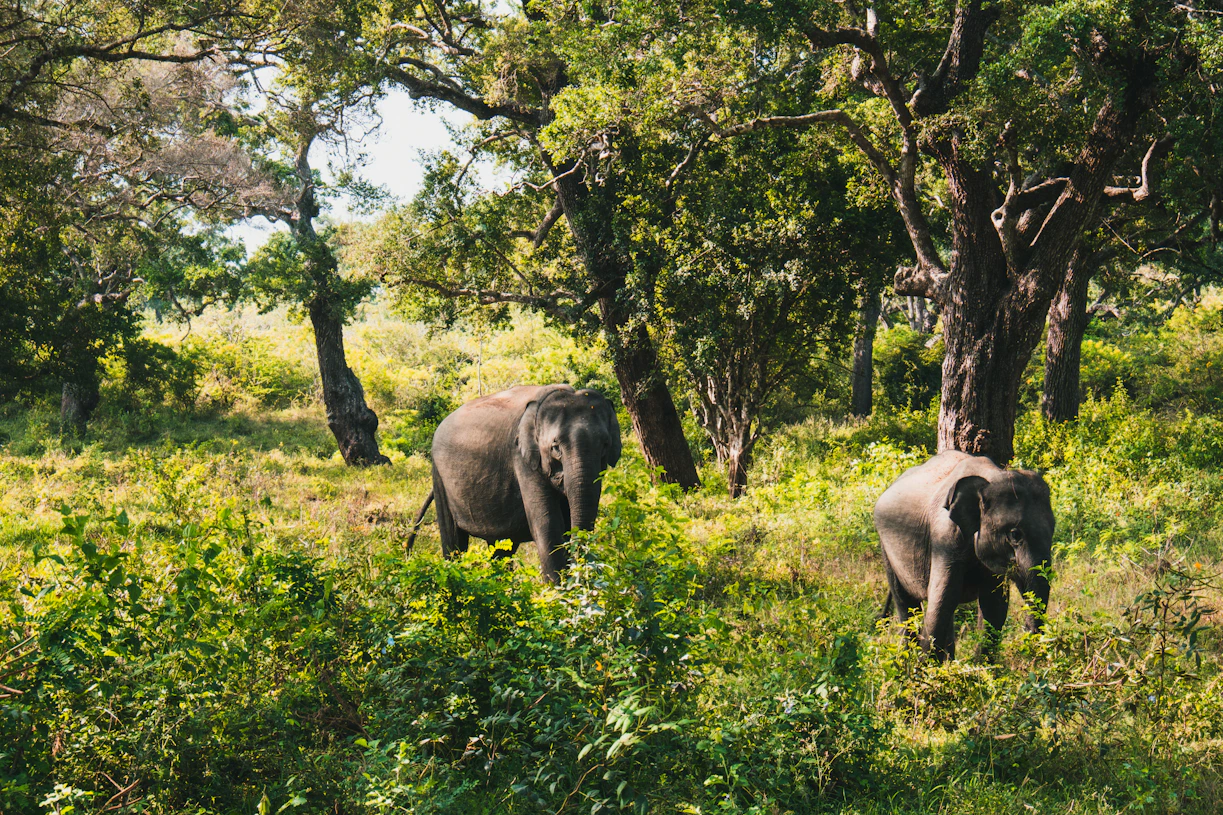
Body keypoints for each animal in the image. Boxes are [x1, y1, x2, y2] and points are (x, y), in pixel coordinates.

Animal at [406, 384, 622, 583]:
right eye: (555, 447)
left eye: (605, 445)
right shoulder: (522, 459)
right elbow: (548, 524)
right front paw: (559, 595)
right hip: (439, 476)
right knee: (453, 541)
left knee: (501, 549)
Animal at [873, 451, 1055, 661]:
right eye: (1015, 534)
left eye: (1053, 530)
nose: (1027, 632)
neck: (991, 477)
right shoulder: (944, 537)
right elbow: (943, 598)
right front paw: (927, 668)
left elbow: (994, 604)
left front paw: (982, 667)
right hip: (886, 547)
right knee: (906, 603)